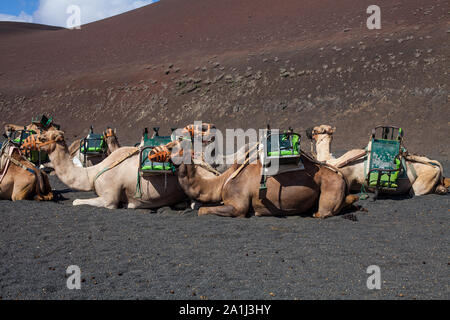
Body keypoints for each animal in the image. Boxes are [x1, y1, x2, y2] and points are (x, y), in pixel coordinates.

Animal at [159, 139, 358, 218]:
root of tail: (340, 174)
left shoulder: (238, 205)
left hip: (331, 186)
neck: (221, 182)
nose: (158, 150)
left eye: (171, 146)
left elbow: (202, 210)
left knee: (322, 213)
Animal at [304, 124, 448, 195]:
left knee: (415, 191)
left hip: (423, 179)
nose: (307, 130)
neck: (334, 161)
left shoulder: (348, 177)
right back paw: (442, 189)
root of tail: (436, 166)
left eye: (317, 129)